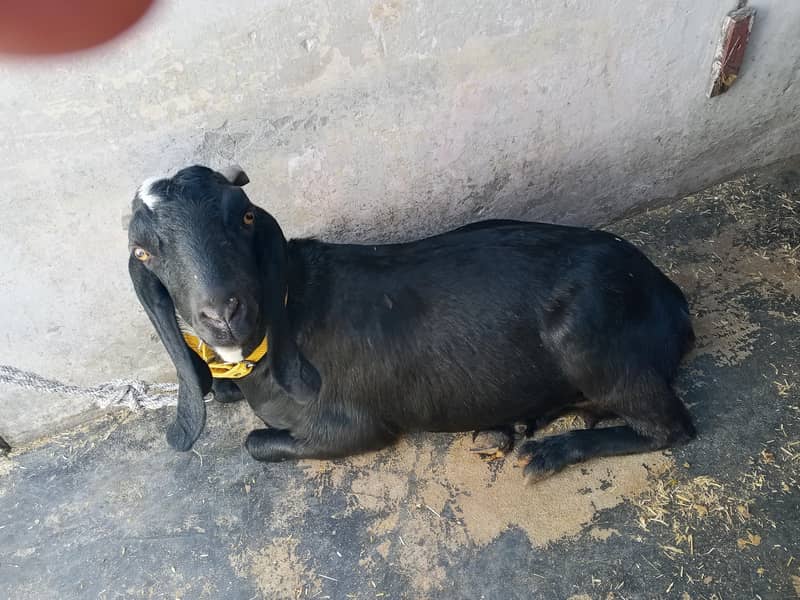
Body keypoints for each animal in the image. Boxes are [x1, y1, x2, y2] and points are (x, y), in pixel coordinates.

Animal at [127, 165, 696, 481]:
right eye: (143, 251)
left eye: (246, 217)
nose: (224, 314)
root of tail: (666, 293)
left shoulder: (350, 427)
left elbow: (254, 443)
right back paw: (512, 425)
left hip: (589, 342)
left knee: (671, 426)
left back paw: (550, 451)